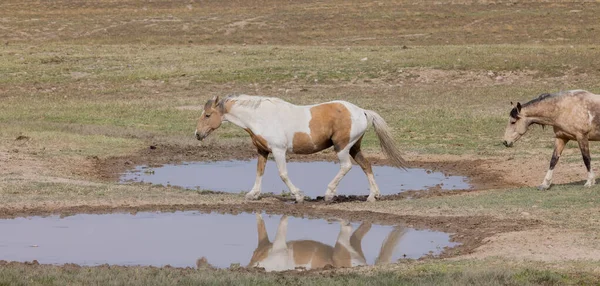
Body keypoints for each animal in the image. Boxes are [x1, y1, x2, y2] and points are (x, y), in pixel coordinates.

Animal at [195, 95, 406, 202]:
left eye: (207, 115)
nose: (197, 134)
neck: (260, 117)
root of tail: (362, 111)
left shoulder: (278, 151)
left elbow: (283, 174)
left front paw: (298, 196)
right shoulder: (263, 151)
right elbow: (259, 171)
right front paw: (252, 194)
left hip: (342, 147)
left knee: (346, 166)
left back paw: (329, 194)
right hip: (354, 147)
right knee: (366, 165)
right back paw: (373, 195)